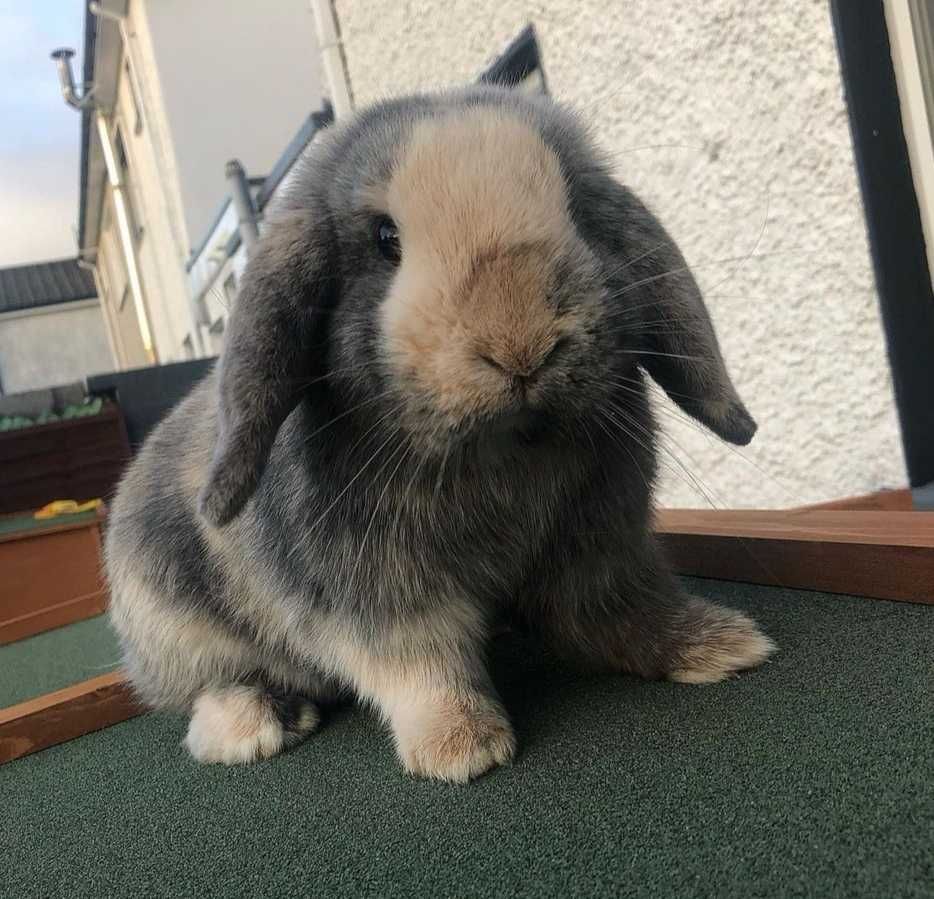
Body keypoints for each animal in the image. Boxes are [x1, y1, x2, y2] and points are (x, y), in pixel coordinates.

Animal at [104, 86, 776, 788]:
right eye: (385, 239)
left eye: (575, 210)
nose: (519, 346)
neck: (500, 451)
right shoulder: (378, 589)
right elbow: (420, 663)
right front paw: (460, 747)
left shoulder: (600, 550)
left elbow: (625, 610)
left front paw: (722, 645)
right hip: (179, 633)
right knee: (210, 691)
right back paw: (252, 726)